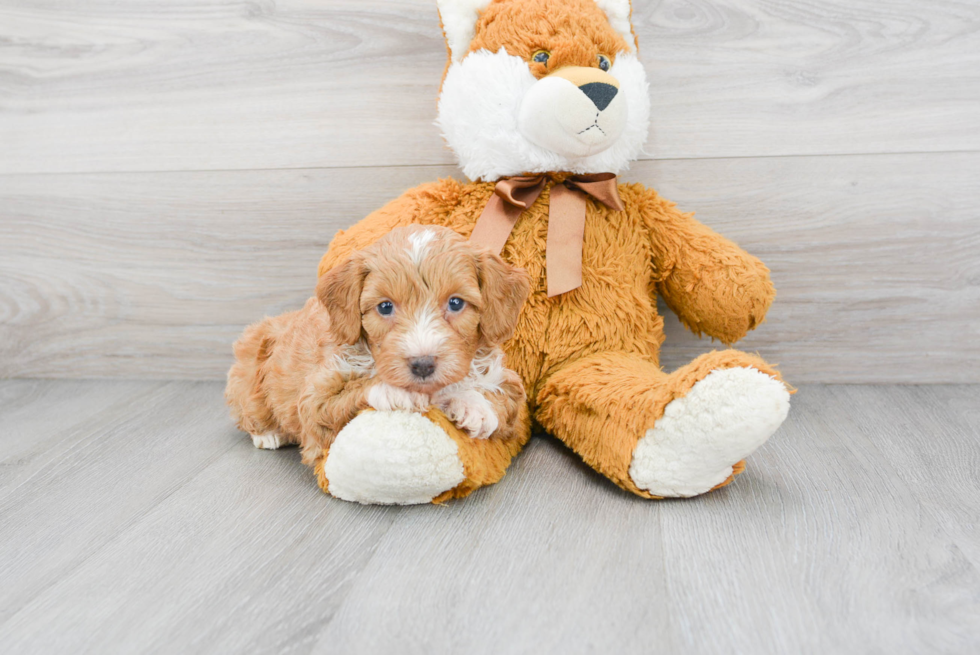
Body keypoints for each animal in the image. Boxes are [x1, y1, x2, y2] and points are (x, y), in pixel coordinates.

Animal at [226, 226, 532, 466]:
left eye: (455, 303)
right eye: (385, 307)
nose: (422, 365)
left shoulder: (507, 381)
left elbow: (503, 397)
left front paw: (474, 405)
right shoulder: (316, 397)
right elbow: (345, 394)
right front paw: (398, 391)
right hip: (250, 369)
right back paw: (267, 434)